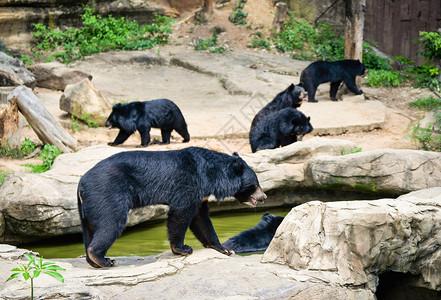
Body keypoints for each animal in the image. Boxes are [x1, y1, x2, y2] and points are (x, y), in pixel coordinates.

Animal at [77, 146, 266, 268]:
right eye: (255, 184)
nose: (263, 197)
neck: (211, 175)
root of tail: (81, 184)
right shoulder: (190, 182)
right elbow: (181, 213)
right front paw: (183, 249)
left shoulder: (201, 193)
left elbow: (201, 219)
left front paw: (224, 249)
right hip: (107, 192)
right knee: (111, 221)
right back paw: (103, 259)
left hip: (87, 207)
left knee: (90, 229)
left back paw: (92, 260)